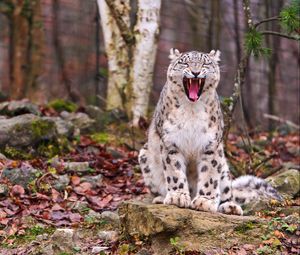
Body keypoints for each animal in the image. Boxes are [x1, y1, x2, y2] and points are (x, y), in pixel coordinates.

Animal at [138, 48, 282, 215]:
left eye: (205, 63)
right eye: (184, 63)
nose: (195, 72)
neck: (191, 110)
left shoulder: (211, 145)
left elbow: (210, 175)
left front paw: (204, 201)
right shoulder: (170, 142)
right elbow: (175, 172)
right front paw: (178, 197)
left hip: (224, 168)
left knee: (227, 192)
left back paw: (230, 207)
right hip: (144, 156)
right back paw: (161, 198)